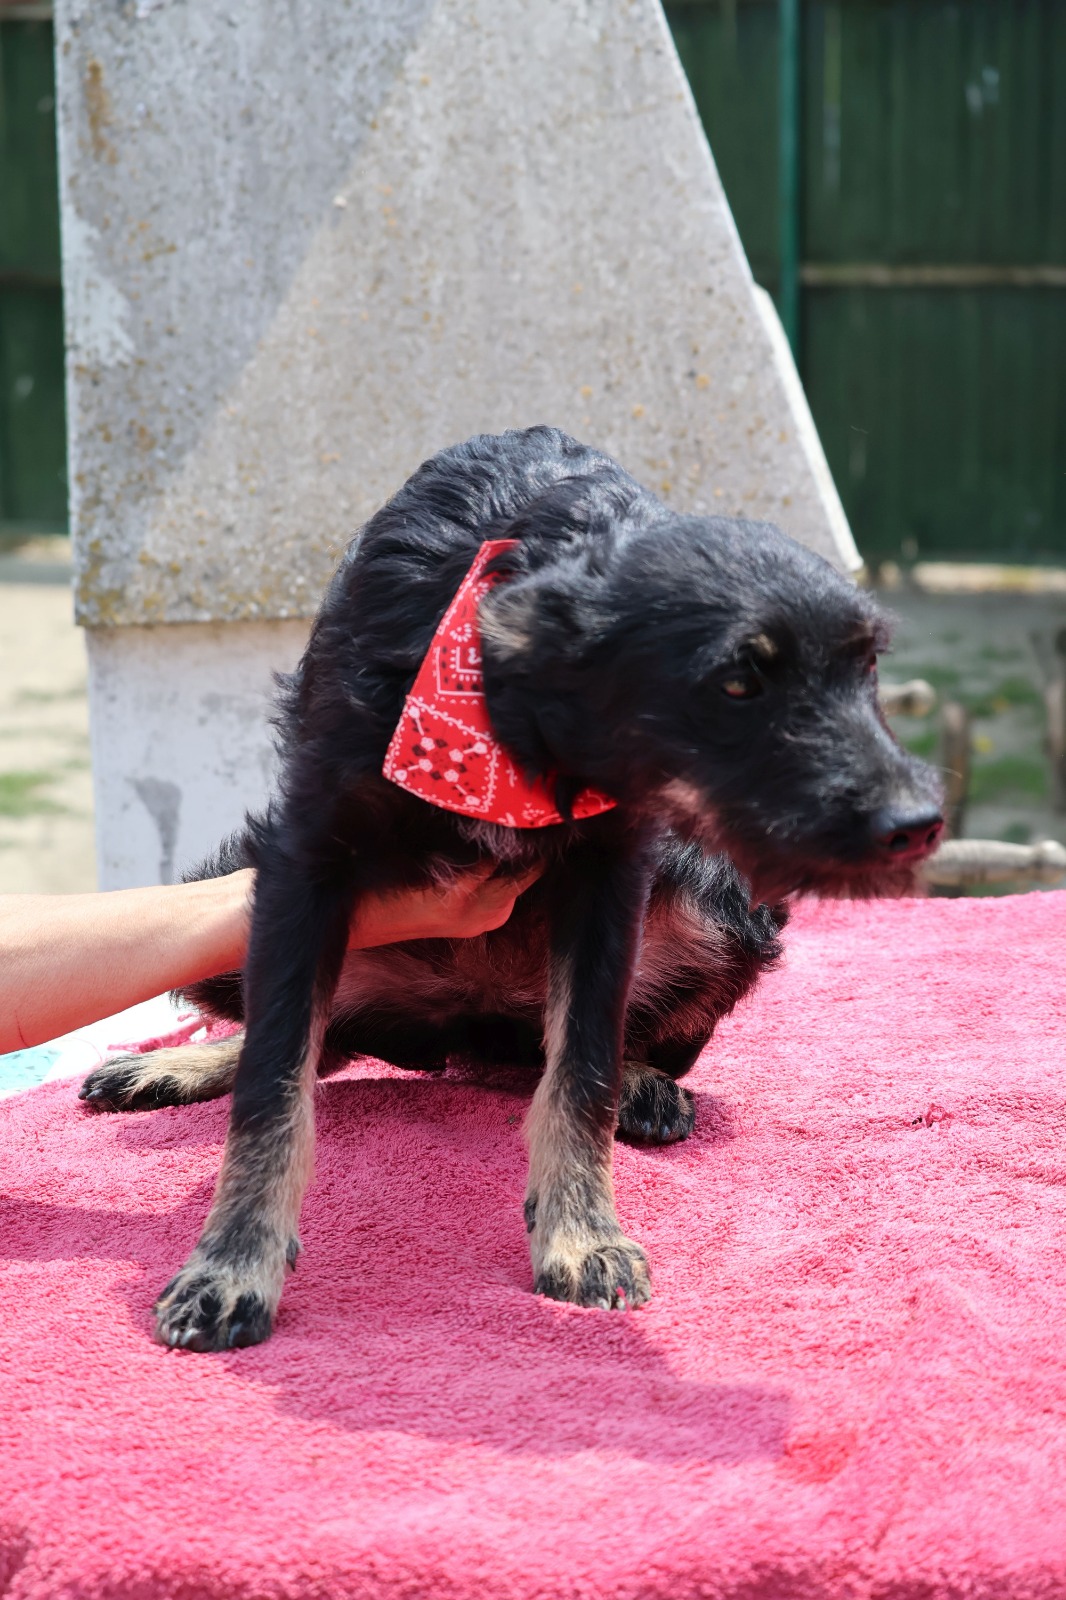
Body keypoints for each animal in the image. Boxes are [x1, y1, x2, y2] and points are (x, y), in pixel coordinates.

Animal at [80, 426, 943, 1351]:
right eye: (737, 682)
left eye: (868, 669)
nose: (922, 821)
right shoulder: (300, 863)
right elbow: (273, 1079)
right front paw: (233, 1264)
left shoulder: (612, 879)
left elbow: (584, 1069)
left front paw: (581, 1233)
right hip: (226, 889)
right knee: (320, 1037)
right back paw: (172, 1068)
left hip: (723, 901)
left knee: (541, 1056)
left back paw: (642, 1082)